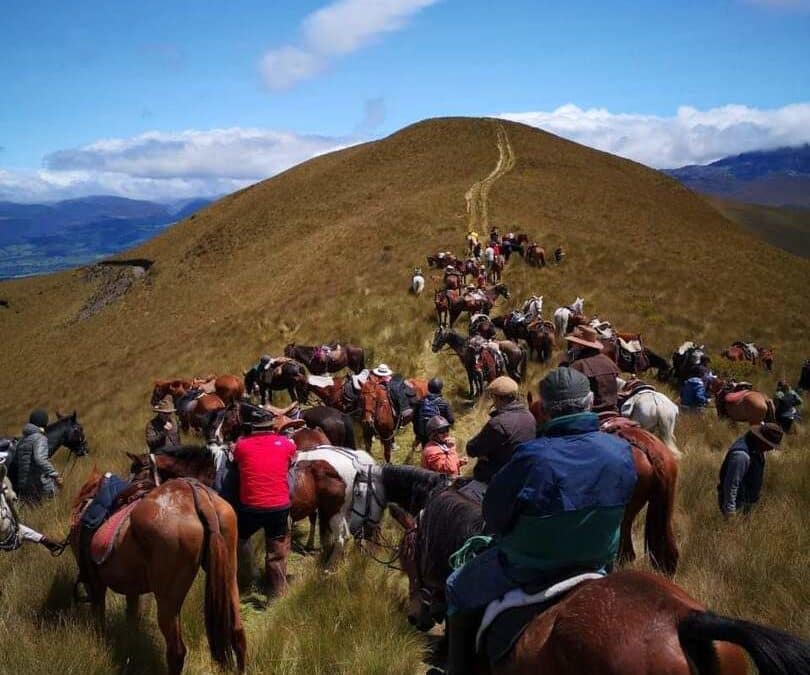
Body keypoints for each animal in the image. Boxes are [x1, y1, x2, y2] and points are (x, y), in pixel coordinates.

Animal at [70, 470, 245, 675]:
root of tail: (198, 496)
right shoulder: (131, 589)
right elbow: (131, 616)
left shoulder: (97, 583)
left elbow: (99, 617)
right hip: (229, 574)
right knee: (238, 633)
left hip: (168, 599)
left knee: (176, 651)